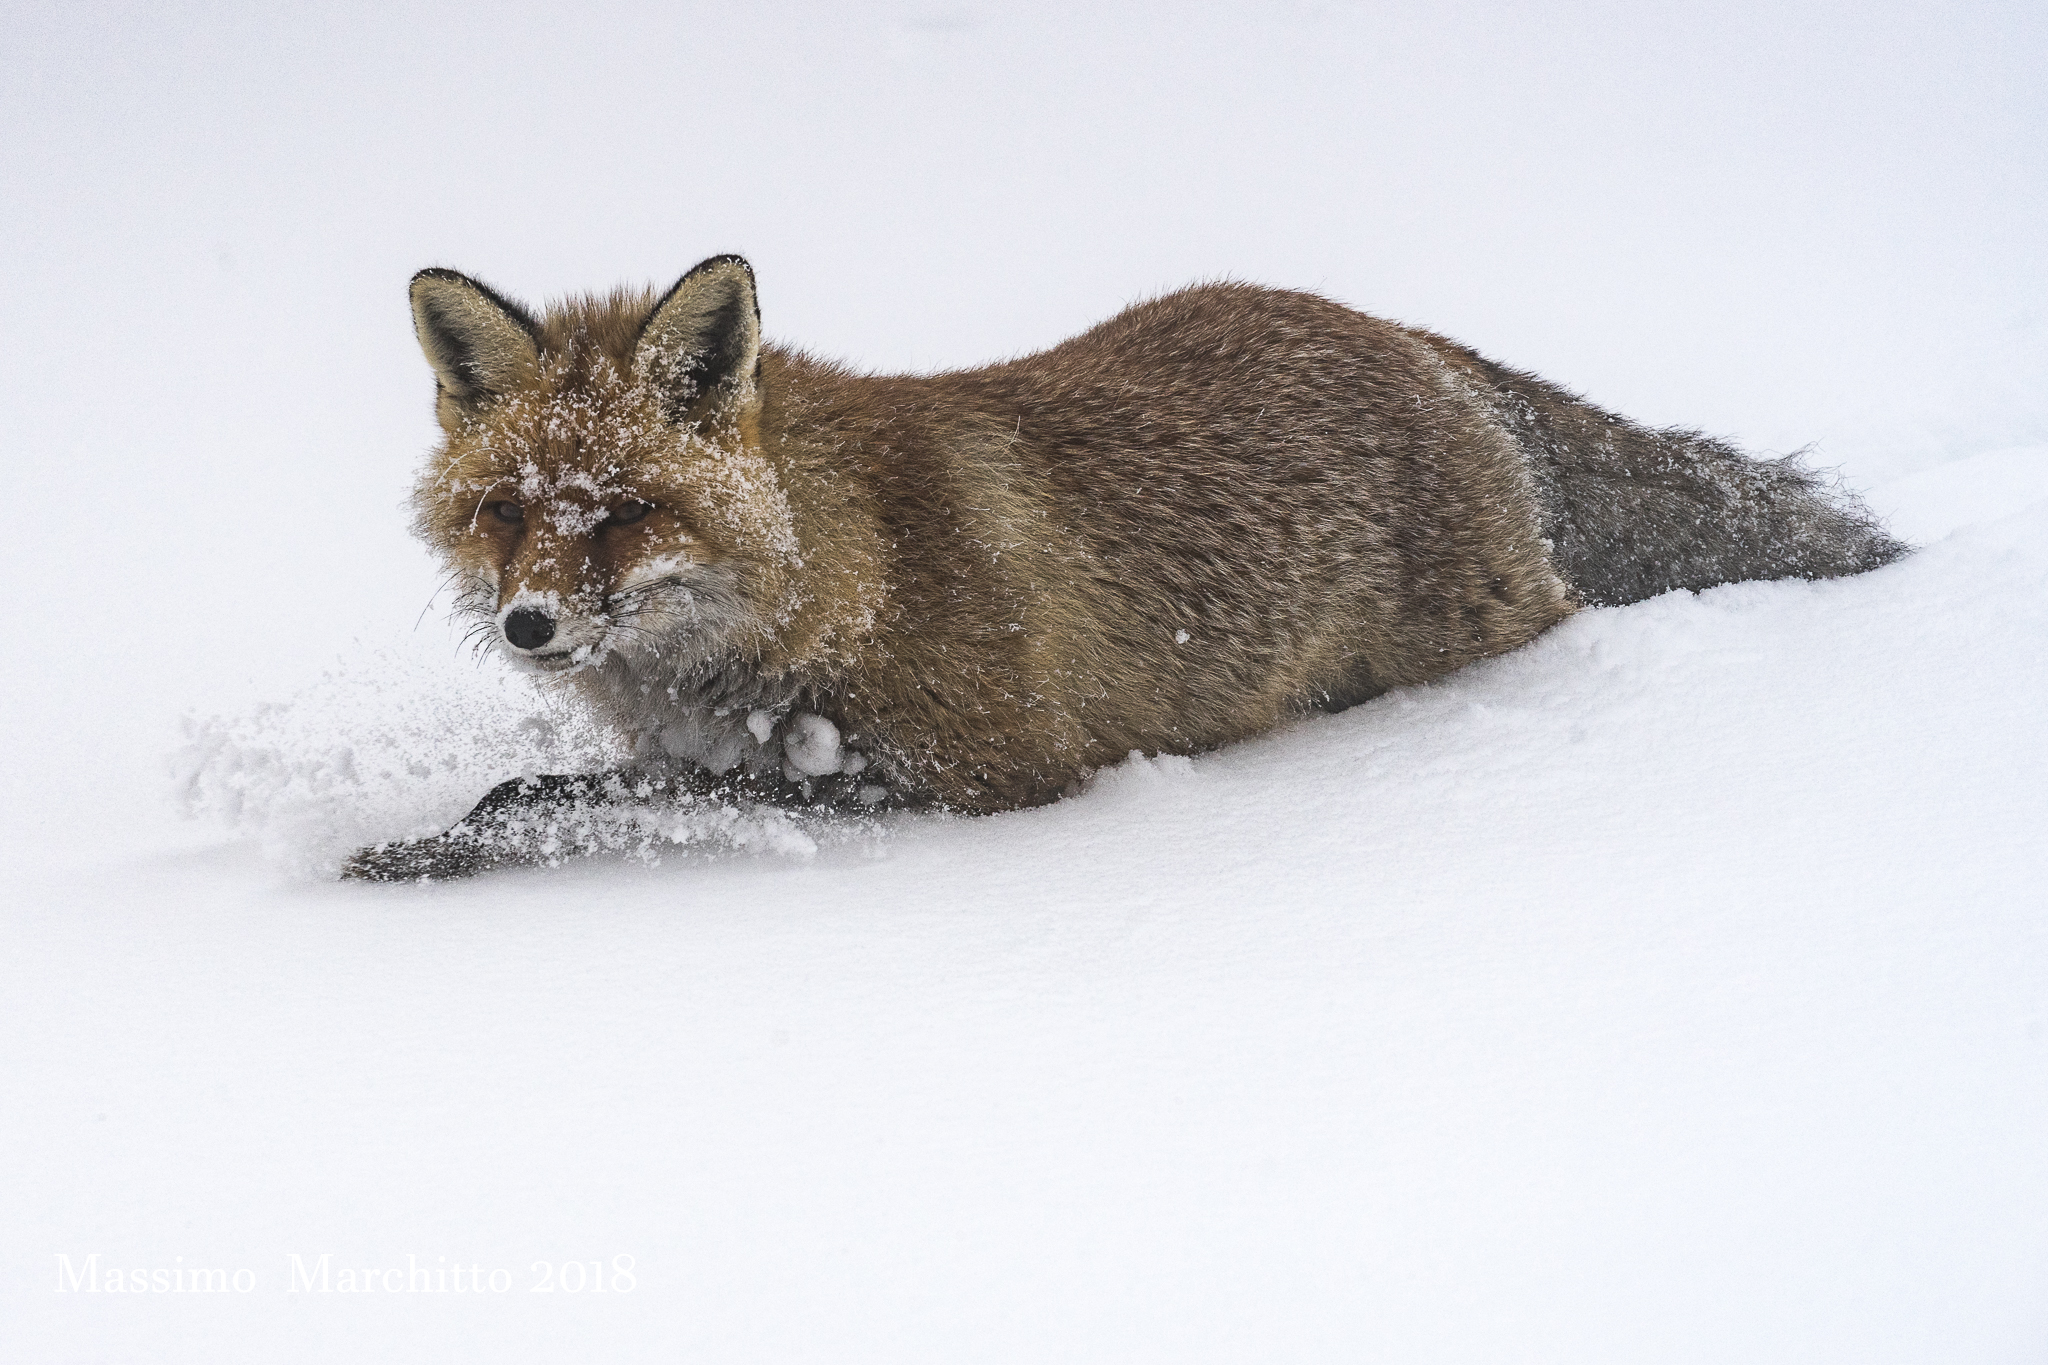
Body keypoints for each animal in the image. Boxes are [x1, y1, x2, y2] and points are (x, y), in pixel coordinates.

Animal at [346, 254, 1904, 880]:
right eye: (504, 512)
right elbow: (550, 789)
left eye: (620, 513)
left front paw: (434, 854)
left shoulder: (984, 777)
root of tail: (1410, 341)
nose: (529, 626)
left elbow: (579, 808)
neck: (839, 567)